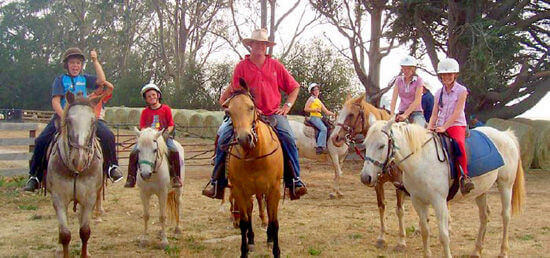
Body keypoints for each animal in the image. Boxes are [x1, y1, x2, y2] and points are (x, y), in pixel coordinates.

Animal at [46, 91, 103, 256]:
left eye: (93, 122)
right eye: (69, 121)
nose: (79, 159)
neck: (75, 171)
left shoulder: (89, 199)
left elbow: (84, 232)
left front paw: (85, 253)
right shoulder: (58, 199)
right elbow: (65, 234)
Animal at [223, 79, 284, 256]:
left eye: (251, 107)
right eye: (229, 112)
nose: (245, 138)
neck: (255, 157)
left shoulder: (274, 190)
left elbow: (274, 221)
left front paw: (276, 250)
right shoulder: (239, 190)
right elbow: (244, 222)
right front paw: (244, 250)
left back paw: (269, 238)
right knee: (250, 213)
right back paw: (251, 241)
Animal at [332, 94, 410, 250]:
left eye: (351, 114)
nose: (335, 137)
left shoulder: (399, 184)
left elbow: (399, 210)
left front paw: (401, 241)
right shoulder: (377, 182)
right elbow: (381, 206)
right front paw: (382, 237)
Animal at [362, 115, 528, 258]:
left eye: (382, 145)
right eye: (365, 144)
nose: (365, 177)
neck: (421, 159)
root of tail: (506, 135)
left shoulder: (439, 202)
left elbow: (443, 234)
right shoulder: (418, 201)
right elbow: (425, 230)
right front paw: (426, 254)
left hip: (506, 185)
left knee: (505, 216)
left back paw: (503, 251)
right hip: (481, 191)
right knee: (484, 216)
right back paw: (477, 251)